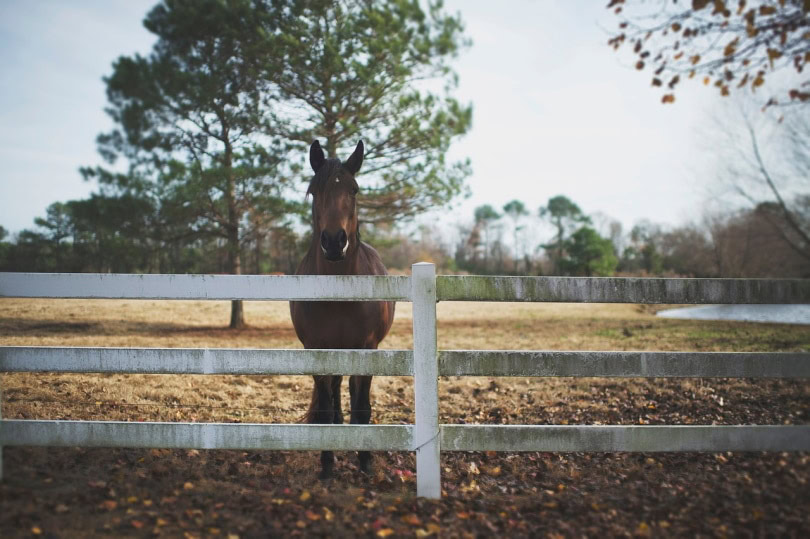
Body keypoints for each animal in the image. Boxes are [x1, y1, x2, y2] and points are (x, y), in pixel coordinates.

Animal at [290, 139, 395, 479]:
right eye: (314, 191)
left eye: (354, 189)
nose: (335, 242)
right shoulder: (317, 348)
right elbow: (324, 409)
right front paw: (326, 465)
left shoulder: (368, 348)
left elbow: (362, 406)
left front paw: (365, 461)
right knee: (335, 390)